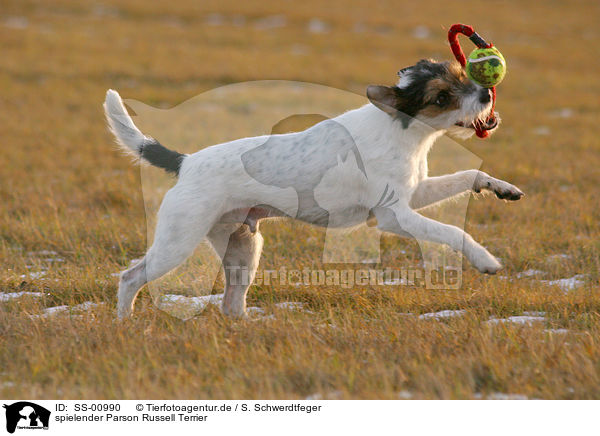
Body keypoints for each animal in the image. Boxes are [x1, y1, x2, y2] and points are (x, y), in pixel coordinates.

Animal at [105, 58, 524, 318]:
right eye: (441, 97)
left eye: (461, 75)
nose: (487, 94)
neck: (400, 128)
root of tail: (186, 162)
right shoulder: (394, 216)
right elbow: (453, 231)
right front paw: (485, 260)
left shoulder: (415, 193)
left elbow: (467, 175)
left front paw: (499, 187)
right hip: (178, 242)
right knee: (130, 278)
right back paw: (125, 323)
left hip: (243, 248)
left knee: (231, 302)